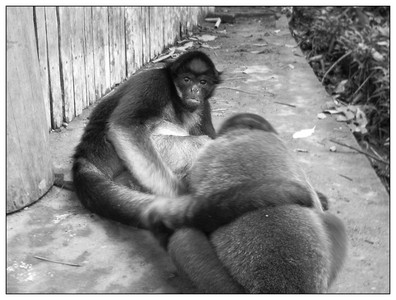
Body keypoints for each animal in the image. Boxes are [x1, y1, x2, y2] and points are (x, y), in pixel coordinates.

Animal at [72, 50, 221, 226]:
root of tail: (86, 152)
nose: (194, 90)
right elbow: (124, 126)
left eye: (203, 82)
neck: (177, 100)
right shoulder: (155, 81)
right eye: (187, 79)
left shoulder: (203, 105)